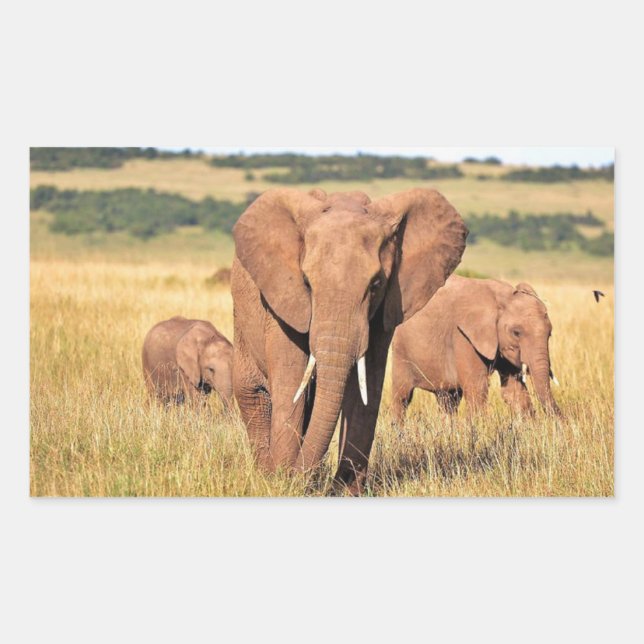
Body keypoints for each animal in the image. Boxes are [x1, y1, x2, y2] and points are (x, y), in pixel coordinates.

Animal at [231, 187, 467, 494]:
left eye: (375, 284)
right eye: (306, 283)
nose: (295, 477)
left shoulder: (384, 310)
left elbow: (368, 386)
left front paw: (344, 491)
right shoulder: (282, 301)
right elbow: (291, 379)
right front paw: (283, 482)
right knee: (254, 395)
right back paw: (266, 474)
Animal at [390, 275, 561, 424]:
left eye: (550, 333)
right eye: (516, 332)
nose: (561, 422)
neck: (501, 298)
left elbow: (513, 391)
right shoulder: (463, 335)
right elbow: (477, 388)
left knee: (448, 400)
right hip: (400, 349)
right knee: (402, 396)